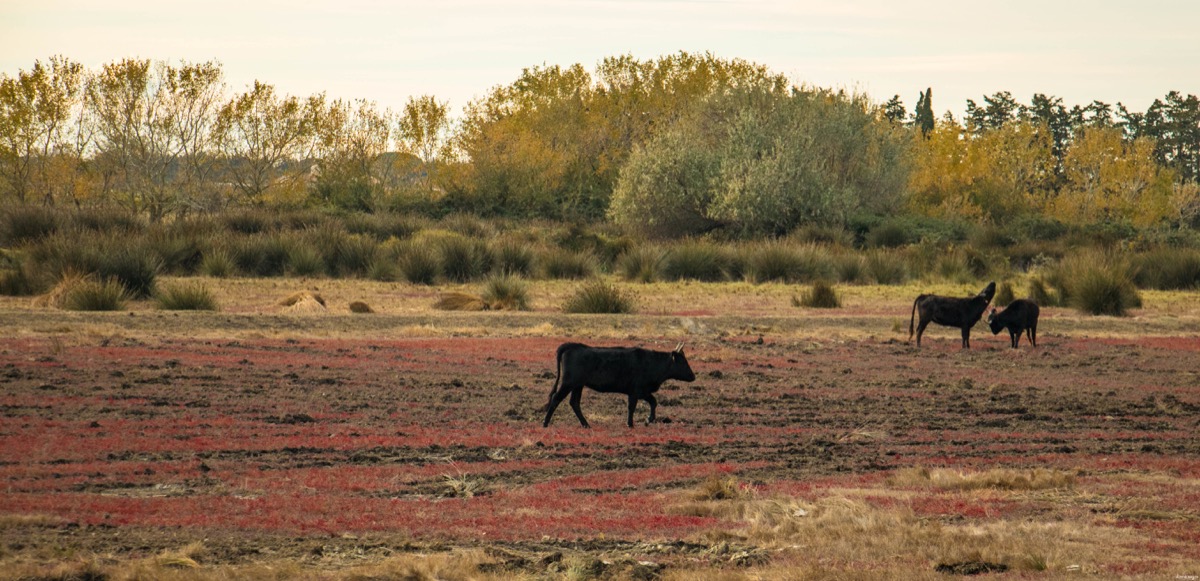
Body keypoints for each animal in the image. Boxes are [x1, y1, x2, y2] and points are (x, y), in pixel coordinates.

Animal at [542, 340, 700, 427]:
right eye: (683, 362)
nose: (693, 376)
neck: (651, 362)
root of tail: (572, 346)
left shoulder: (642, 391)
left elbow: (653, 402)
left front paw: (649, 420)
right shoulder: (636, 391)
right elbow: (633, 407)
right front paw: (631, 423)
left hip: (577, 385)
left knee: (574, 402)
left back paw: (586, 424)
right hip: (568, 383)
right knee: (556, 399)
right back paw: (545, 423)